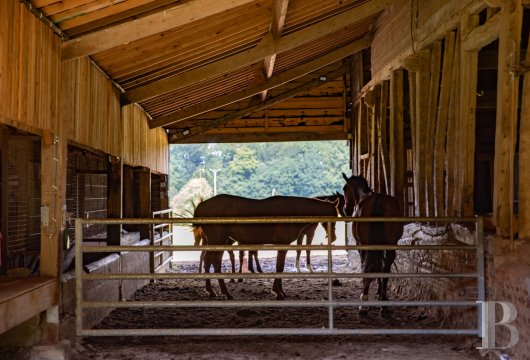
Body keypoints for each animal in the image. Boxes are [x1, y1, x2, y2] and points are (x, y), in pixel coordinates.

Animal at [195, 195, 338, 300]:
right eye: (333, 218)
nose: (333, 237)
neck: (292, 211)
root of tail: (202, 206)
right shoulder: (283, 244)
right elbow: (279, 267)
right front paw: (277, 292)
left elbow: (280, 267)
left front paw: (280, 291)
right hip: (217, 239)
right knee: (210, 261)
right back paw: (219, 292)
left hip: (220, 241)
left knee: (213, 262)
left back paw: (217, 291)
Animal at [340, 173, 402, 314]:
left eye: (344, 188)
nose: (346, 210)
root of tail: (378, 203)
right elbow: (379, 267)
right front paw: (379, 293)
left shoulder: (360, 245)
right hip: (390, 246)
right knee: (385, 269)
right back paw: (383, 304)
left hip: (366, 245)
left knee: (367, 267)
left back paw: (364, 302)